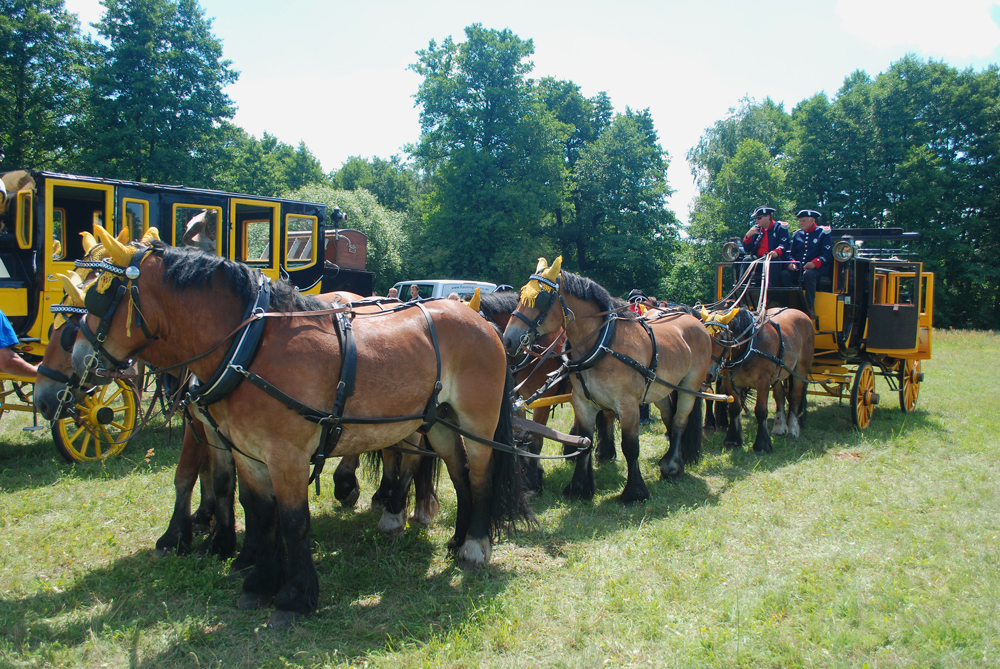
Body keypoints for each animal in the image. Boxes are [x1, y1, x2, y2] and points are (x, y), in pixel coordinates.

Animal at [64, 234, 532, 628]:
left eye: (102, 294)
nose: (78, 359)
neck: (251, 346)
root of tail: (484, 323)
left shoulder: (286, 455)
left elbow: (293, 521)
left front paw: (295, 595)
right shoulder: (248, 454)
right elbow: (259, 513)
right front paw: (258, 580)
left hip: (476, 421)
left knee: (480, 476)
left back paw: (475, 546)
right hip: (438, 424)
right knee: (458, 475)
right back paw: (457, 539)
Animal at [500, 258, 712, 504]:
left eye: (539, 299)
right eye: (520, 295)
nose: (508, 339)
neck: (602, 344)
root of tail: (691, 317)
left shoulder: (628, 405)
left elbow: (631, 446)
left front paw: (634, 491)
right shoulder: (583, 403)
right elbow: (584, 442)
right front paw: (578, 488)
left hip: (689, 386)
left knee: (679, 421)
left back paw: (673, 467)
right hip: (659, 388)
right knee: (669, 416)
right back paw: (667, 458)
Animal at [700, 306, 816, 452]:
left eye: (722, 340)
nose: (706, 374)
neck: (749, 346)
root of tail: (800, 312)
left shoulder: (763, 381)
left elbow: (761, 411)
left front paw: (762, 444)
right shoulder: (731, 382)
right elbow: (734, 409)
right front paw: (733, 439)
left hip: (800, 370)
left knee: (795, 397)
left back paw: (793, 432)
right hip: (778, 373)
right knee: (780, 395)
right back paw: (780, 426)